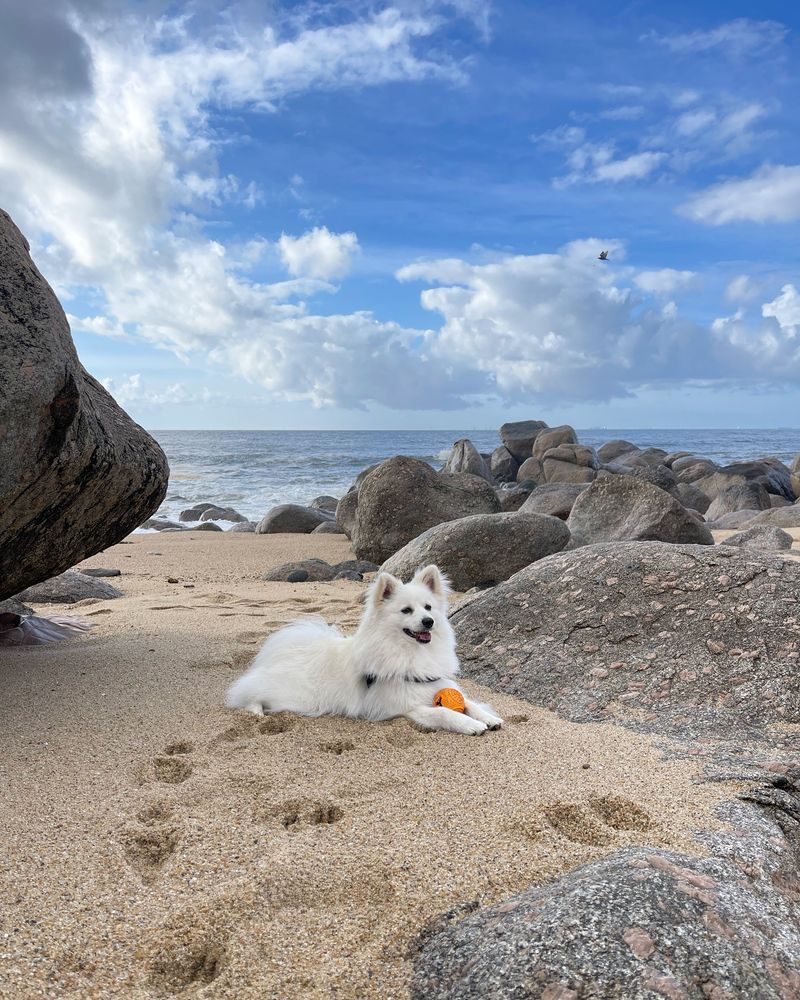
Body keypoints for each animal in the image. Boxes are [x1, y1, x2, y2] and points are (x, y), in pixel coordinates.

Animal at [225, 564, 500, 736]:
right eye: (406, 610)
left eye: (428, 607)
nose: (428, 622)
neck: (411, 652)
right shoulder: (402, 706)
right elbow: (443, 712)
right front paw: (469, 724)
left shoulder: (436, 683)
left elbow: (469, 702)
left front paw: (488, 718)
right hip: (293, 695)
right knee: (249, 694)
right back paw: (257, 711)